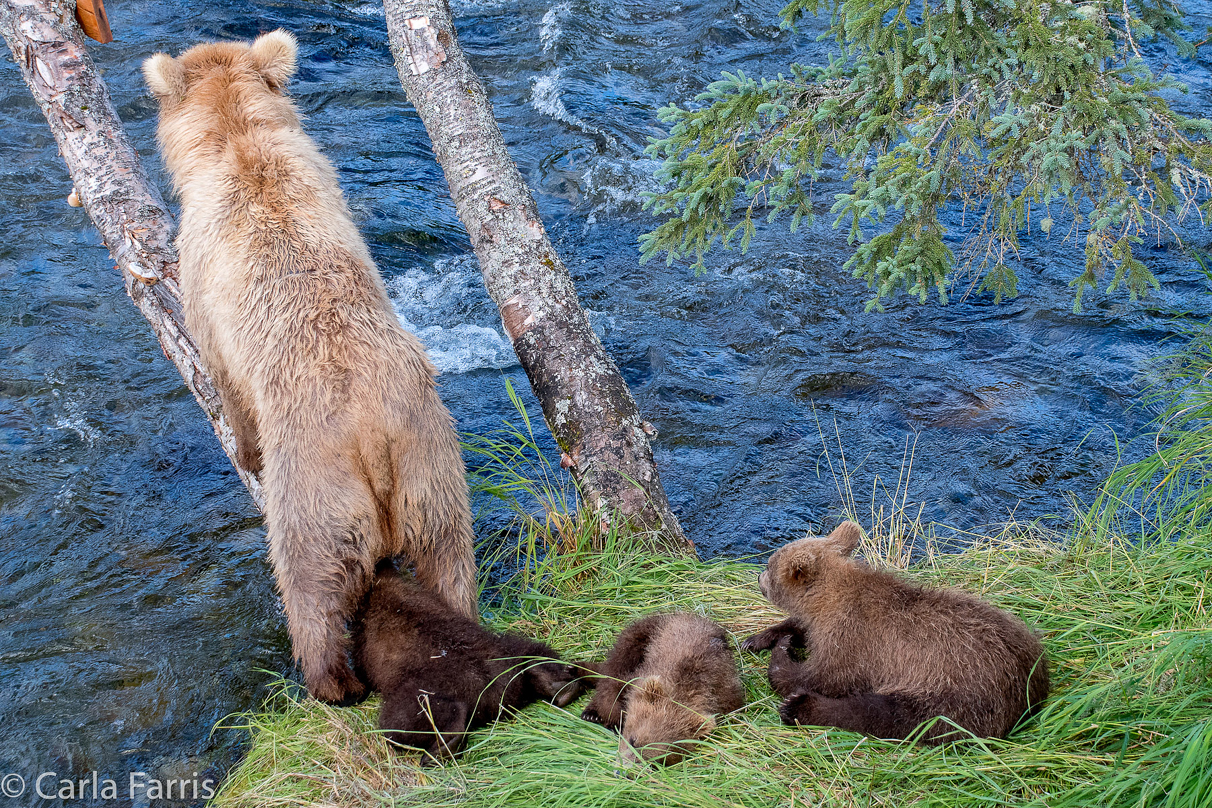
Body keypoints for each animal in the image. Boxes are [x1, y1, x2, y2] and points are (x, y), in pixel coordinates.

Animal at [144, 28, 475, 702]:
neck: (234, 137)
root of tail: (372, 437)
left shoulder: (202, 272)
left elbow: (221, 372)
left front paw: (240, 446)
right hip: (431, 462)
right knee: (450, 559)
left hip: (316, 483)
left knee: (309, 581)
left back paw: (329, 679)